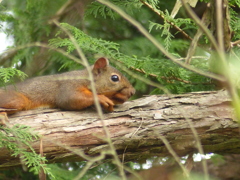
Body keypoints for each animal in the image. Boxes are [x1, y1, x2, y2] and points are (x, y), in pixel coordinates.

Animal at [0, 57, 135, 117]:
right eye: (115, 78)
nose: (133, 91)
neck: (85, 79)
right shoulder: (68, 86)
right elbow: (70, 99)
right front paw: (101, 98)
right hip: (15, 99)